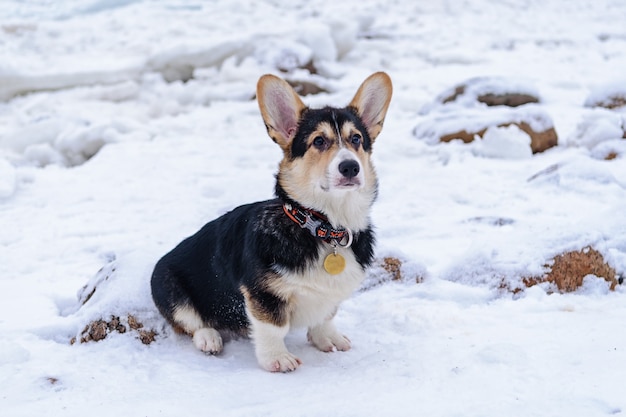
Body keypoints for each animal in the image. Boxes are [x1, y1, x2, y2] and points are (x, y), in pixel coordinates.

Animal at [151, 70, 390, 370]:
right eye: (319, 141)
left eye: (356, 139)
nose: (350, 167)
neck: (324, 226)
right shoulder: (262, 293)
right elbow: (273, 327)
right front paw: (277, 359)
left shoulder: (330, 295)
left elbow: (326, 316)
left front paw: (328, 339)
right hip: (168, 286)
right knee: (189, 322)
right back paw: (209, 338)